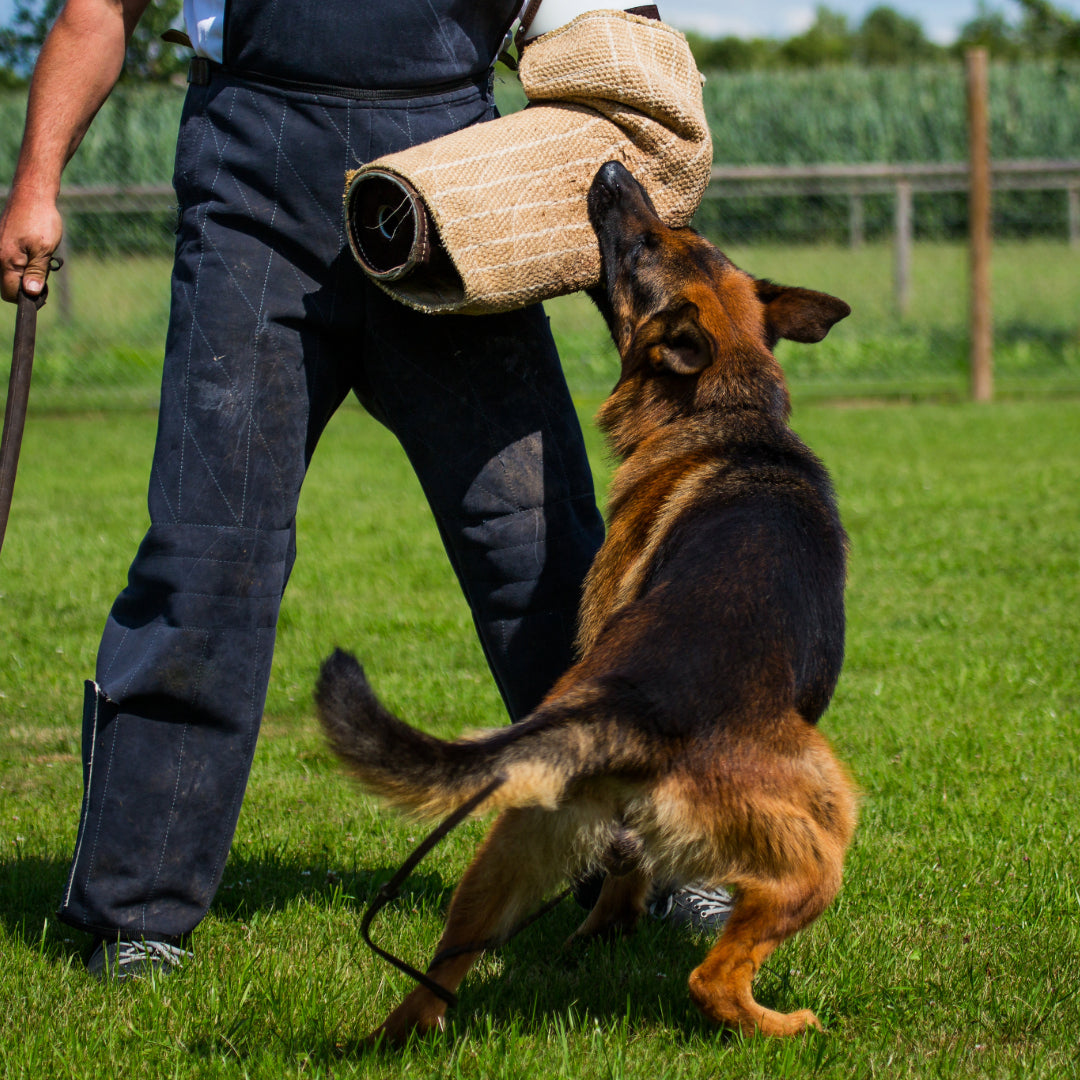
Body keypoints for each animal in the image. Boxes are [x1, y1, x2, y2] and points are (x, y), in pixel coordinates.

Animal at [315, 157, 855, 1036]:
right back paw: (782, 1025)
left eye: (653, 245)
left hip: (508, 852)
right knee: (711, 978)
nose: (609, 169)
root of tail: (634, 710)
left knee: (440, 975)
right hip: (824, 835)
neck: (732, 409)